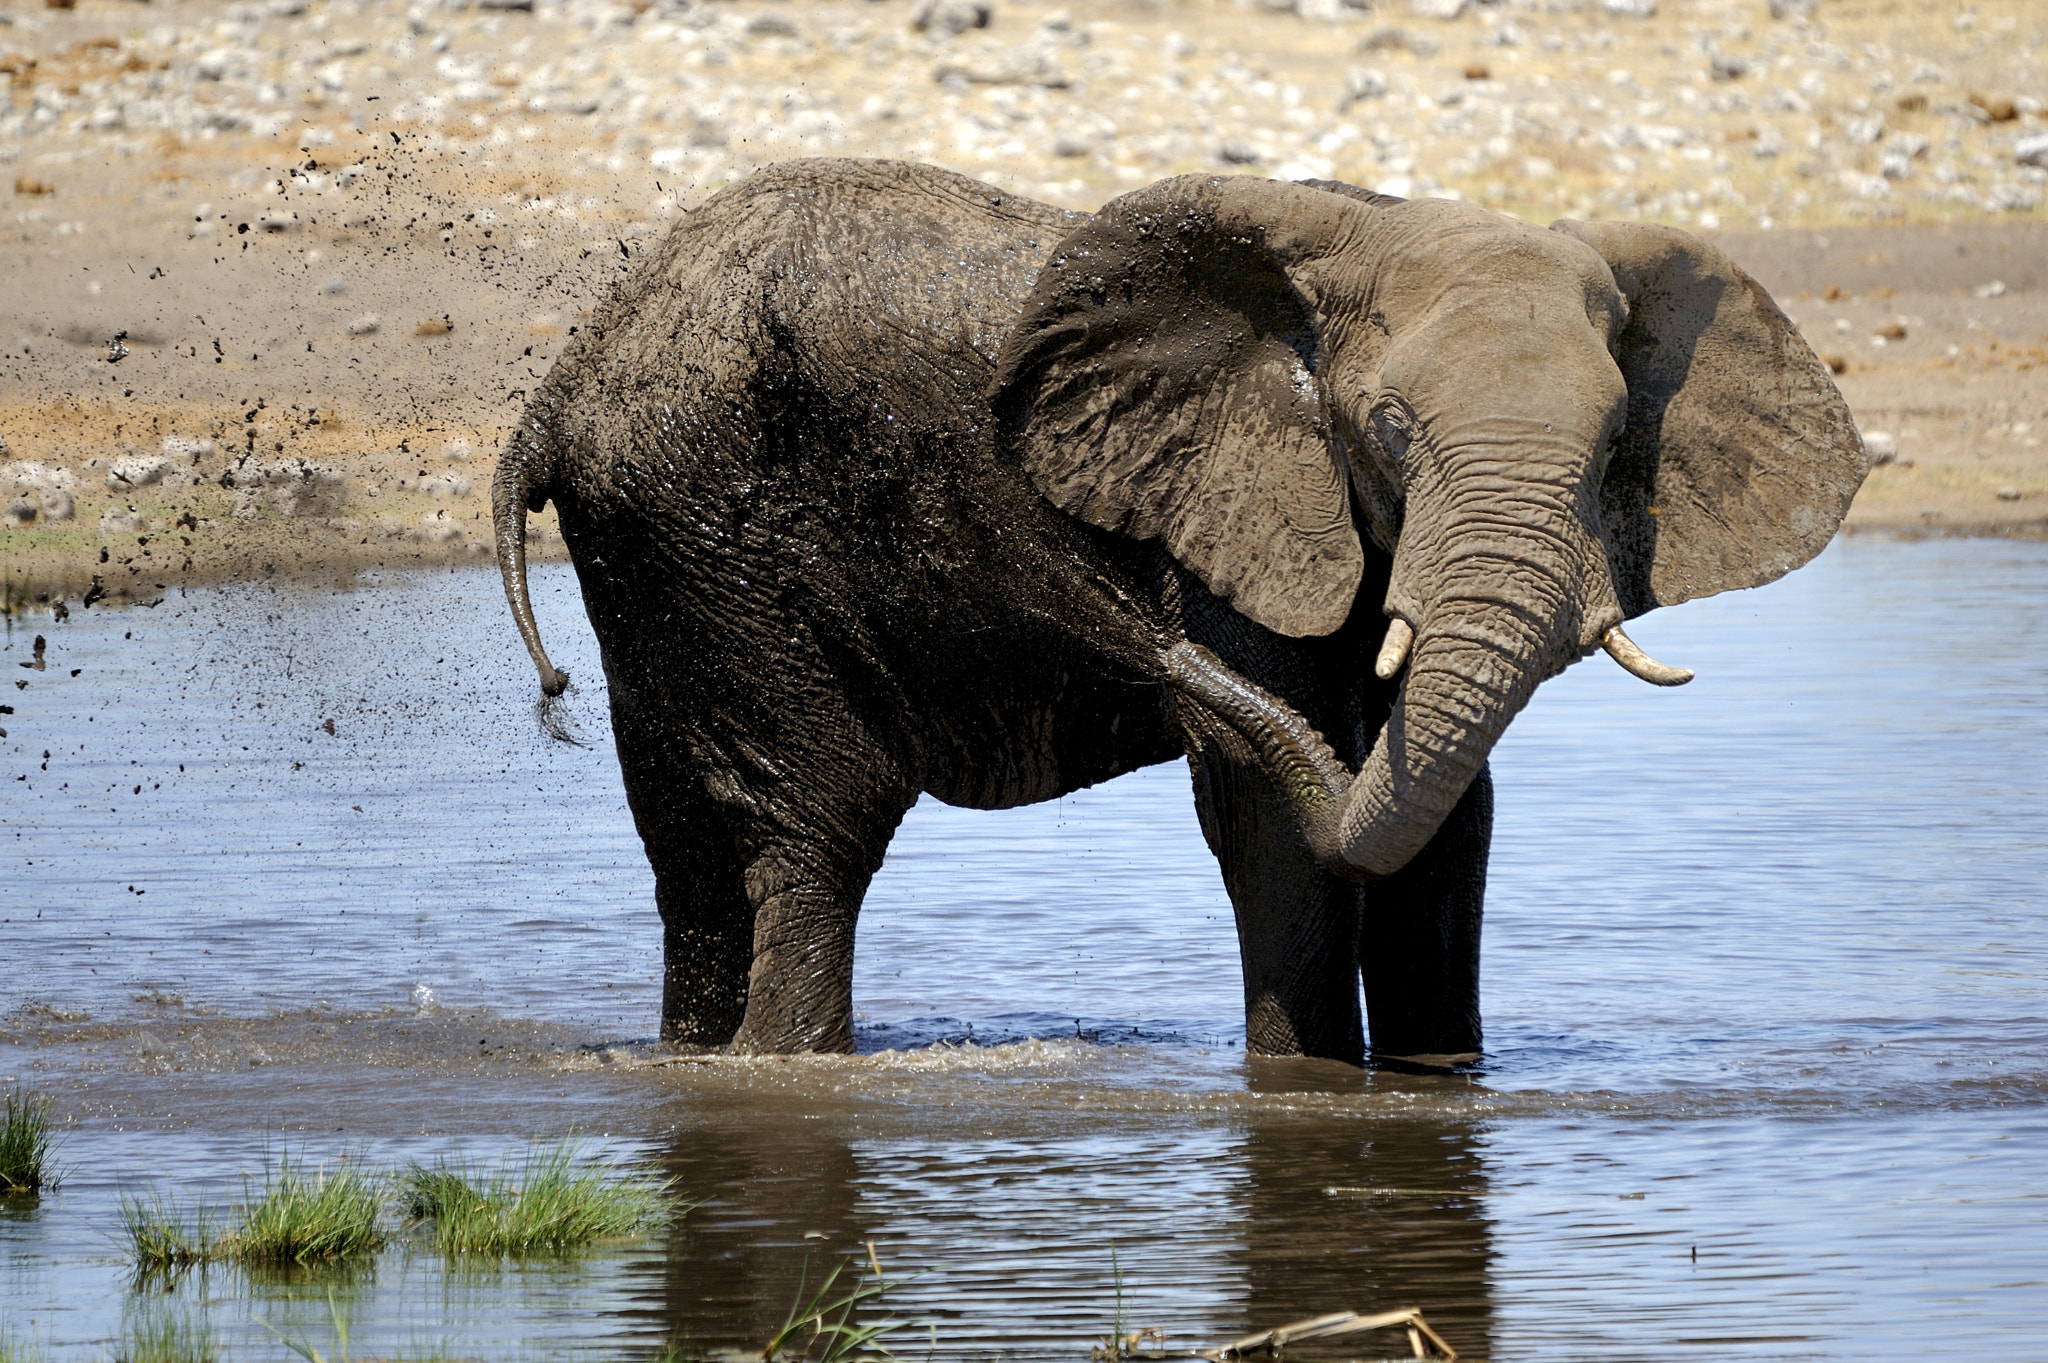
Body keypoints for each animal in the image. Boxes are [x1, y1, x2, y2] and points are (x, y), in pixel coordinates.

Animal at [495, 151, 1875, 1064]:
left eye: (1610, 448)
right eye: (1387, 430)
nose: (1103, 606)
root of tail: (560, 386)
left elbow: (1450, 814)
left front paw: (1435, 1082)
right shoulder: (1228, 514)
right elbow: (1267, 806)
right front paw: (1308, 1086)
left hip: (653, 553)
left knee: (691, 854)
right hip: (706, 522)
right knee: (819, 825)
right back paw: (784, 1066)